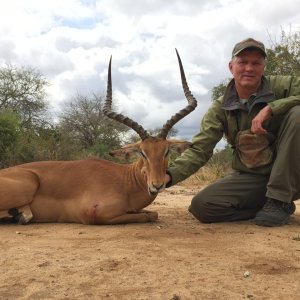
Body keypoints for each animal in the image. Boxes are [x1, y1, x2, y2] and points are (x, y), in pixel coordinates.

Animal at [0, 50, 197, 225]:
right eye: (143, 153)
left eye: (166, 151)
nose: (157, 185)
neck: (125, 181)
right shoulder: (95, 214)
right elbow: (148, 216)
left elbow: (152, 213)